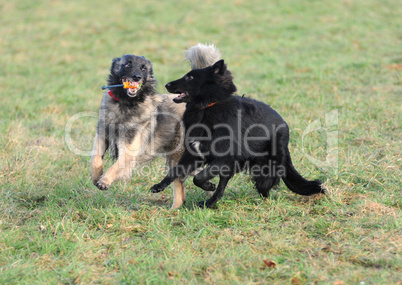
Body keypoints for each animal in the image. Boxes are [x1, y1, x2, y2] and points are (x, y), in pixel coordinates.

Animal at [151, 43, 324, 206]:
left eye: (190, 77)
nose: (166, 84)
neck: (208, 106)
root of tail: (284, 125)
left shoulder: (225, 157)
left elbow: (198, 177)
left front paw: (208, 185)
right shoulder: (195, 153)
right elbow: (176, 170)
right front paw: (160, 185)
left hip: (265, 168)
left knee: (262, 186)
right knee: (224, 186)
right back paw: (209, 203)